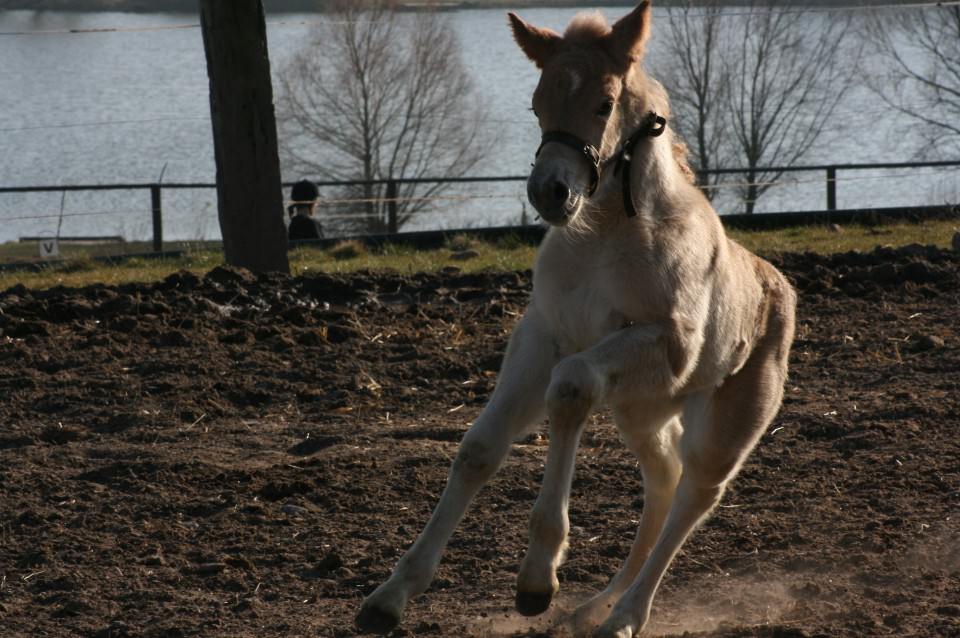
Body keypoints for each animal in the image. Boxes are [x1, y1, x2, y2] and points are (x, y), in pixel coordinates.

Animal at [358, 2, 796, 636]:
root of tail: (780, 285)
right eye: (537, 103)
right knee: (662, 482)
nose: (550, 192)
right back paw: (593, 609)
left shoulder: (662, 346)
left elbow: (570, 389)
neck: (601, 234)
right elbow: (479, 448)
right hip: (641, 410)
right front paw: (391, 595)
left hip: (719, 427)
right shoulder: (542, 335)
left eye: (604, 103)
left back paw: (625, 616)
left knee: (692, 499)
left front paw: (537, 578)